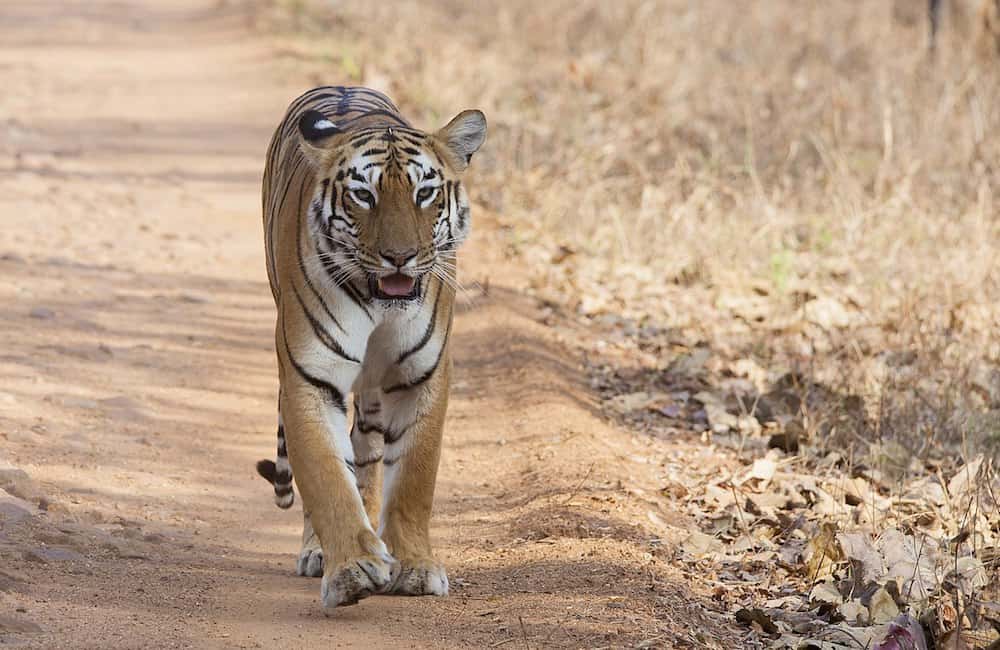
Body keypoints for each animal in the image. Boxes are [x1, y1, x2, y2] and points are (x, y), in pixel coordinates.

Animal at [256, 85, 486, 608]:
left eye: (425, 193)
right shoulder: (309, 376)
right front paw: (352, 569)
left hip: (375, 396)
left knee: (366, 453)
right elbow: (325, 475)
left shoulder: (422, 376)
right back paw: (319, 552)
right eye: (364, 195)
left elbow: (414, 479)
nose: (399, 257)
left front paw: (415, 567)